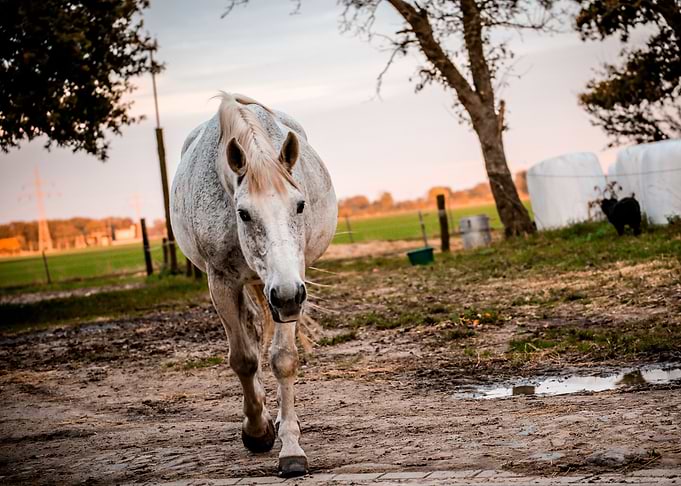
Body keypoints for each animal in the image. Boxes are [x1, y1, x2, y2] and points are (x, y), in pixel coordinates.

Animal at [170, 92, 337, 477]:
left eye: (300, 205)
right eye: (243, 213)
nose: (287, 296)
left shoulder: (291, 285)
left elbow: (283, 359)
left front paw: (290, 447)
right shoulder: (221, 282)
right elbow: (244, 358)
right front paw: (257, 431)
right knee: (249, 331)